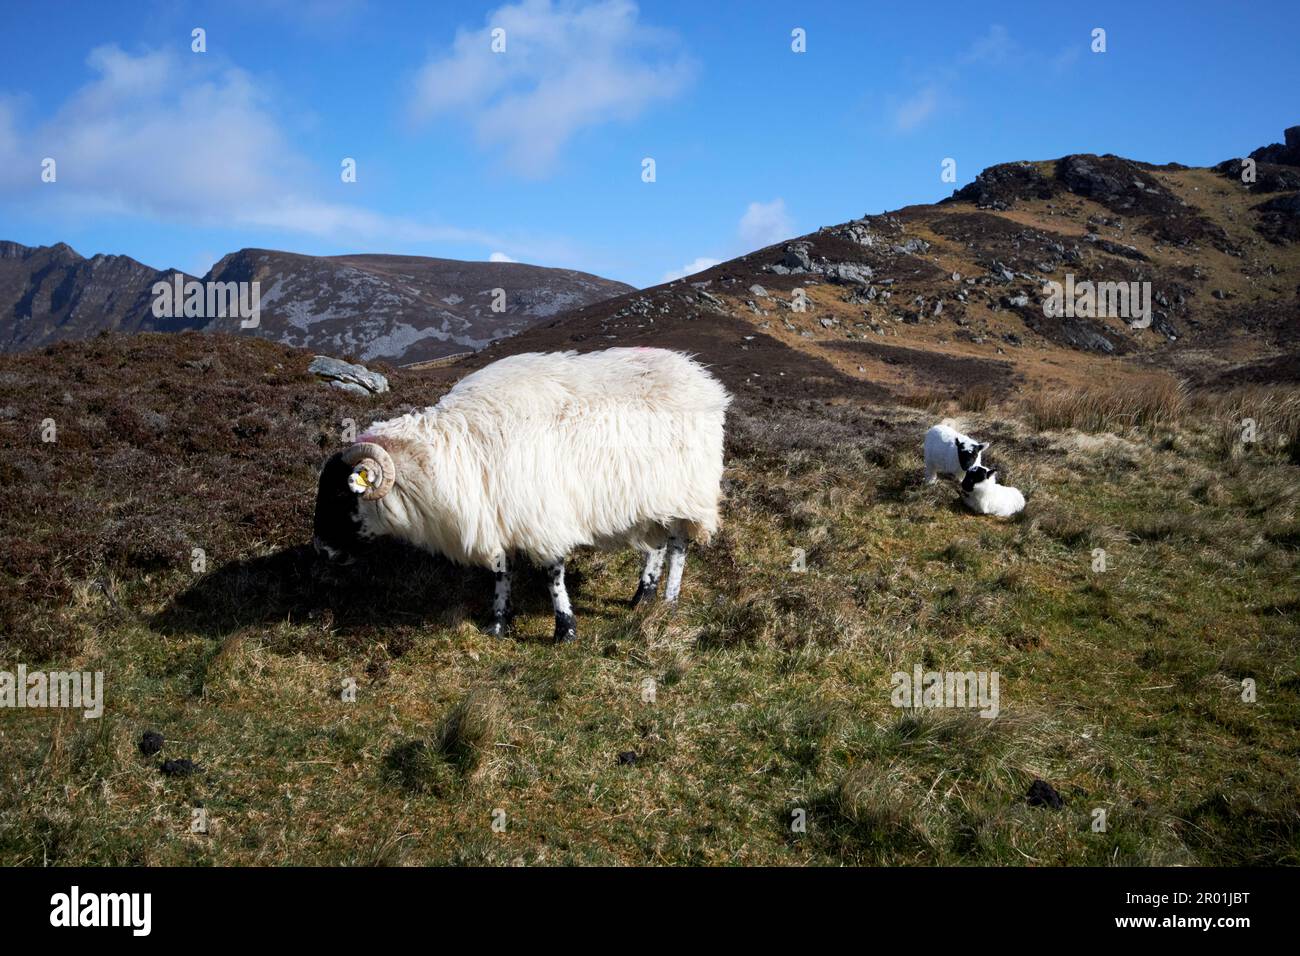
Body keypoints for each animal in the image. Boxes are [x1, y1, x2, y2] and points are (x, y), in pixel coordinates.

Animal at [309, 345, 728, 642]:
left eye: (340, 497)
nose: (321, 551)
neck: (454, 450)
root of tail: (702, 378)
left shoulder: (540, 510)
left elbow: (552, 573)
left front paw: (564, 629)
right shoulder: (499, 511)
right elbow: (501, 571)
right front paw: (497, 623)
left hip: (689, 490)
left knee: (678, 546)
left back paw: (669, 602)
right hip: (650, 498)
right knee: (656, 546)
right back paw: (642, 597)